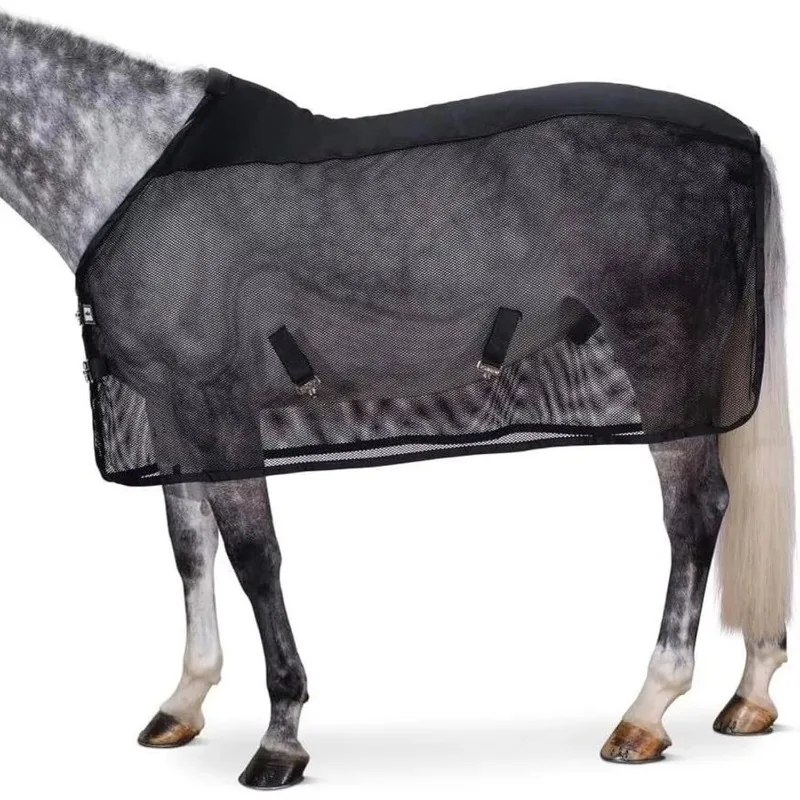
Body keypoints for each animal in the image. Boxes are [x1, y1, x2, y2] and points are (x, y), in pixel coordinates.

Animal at [0, 11, 793, 790]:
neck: (126, 164)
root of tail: (742, 142)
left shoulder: (216, 402)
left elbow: (255, 556)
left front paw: (281, 737)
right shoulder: (171, 409)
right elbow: (190, 548)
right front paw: (184, 701)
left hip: (666, 359)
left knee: (695, 511)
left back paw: (648, 711)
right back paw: (750, 695)